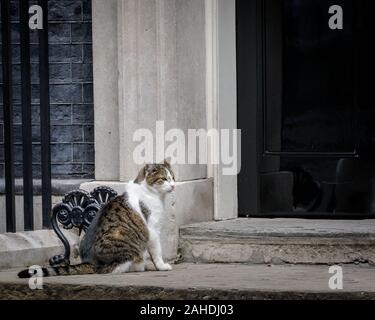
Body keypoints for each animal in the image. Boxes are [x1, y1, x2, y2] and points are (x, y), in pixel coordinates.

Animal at [18, 160, 176, 278]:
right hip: (125, 245)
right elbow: (157, 251)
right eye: (164, 179)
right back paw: (138, 266)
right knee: (109, 269)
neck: (151, 192)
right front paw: (162, 266)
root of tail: (91, 261)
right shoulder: (152, 230)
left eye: (173, 178)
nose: (174, 185)